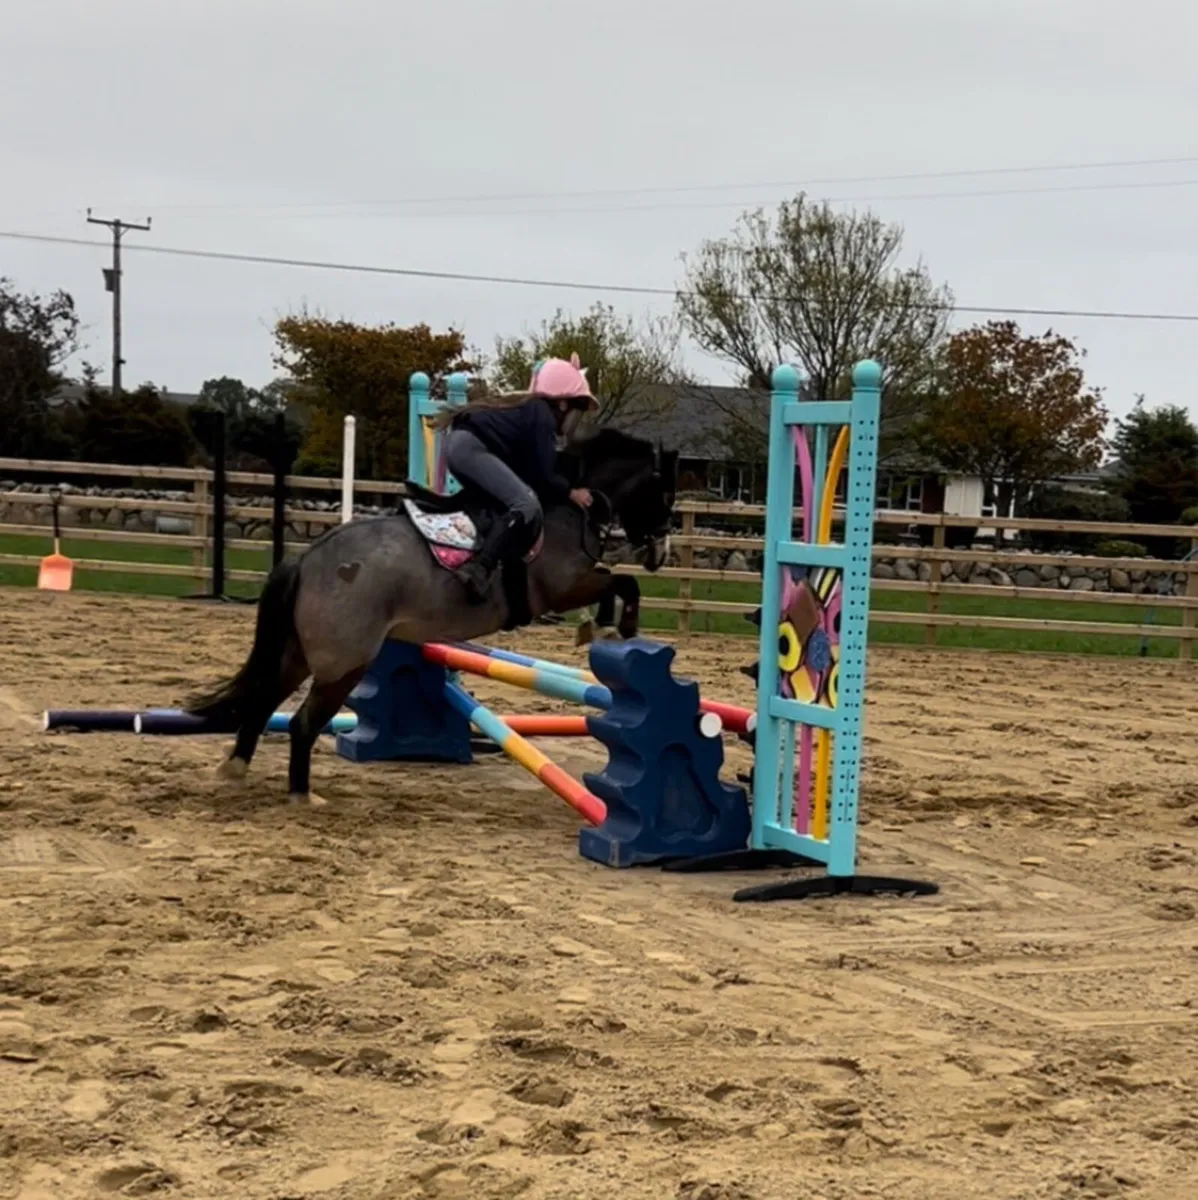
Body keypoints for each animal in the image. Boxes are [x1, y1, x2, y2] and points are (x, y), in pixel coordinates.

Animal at [184, 428, 676, 804]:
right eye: (664, 495)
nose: (660, 555)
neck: (569, 507)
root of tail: (306, 560)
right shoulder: (562, 587)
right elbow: (620, 582)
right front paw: (616, 625)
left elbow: (617, 580)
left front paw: (602, 624)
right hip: (344, 663)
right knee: (303, 722)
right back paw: (302, 796)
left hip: (297, 655)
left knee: (263, 701)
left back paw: (235, 769)